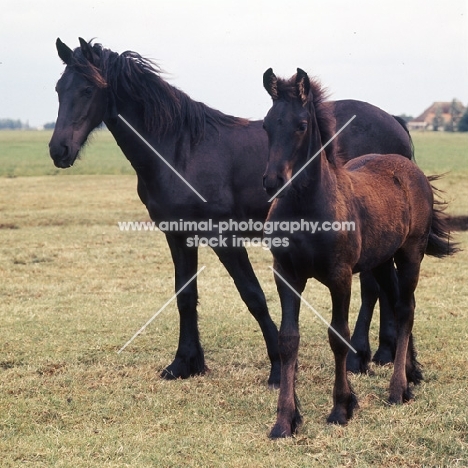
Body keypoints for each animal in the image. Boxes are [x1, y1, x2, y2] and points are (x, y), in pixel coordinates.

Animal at [50, 38, 414, 386]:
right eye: (58, 89)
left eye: (87, 89)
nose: (58, 150)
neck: (181, 150)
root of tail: (395, 123)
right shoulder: (178, 235)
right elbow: (185, 295)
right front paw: (185, 363)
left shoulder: (224, 236)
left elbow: (252, 295)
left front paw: (278, 368)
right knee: (382, 287)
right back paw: (383, 352)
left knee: (373, 288)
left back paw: (360, 357)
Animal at [262, 69, 456, 438]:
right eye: (266, 124)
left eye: (301, 125)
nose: (272, 181)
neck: (307, 207)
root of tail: (409, 167)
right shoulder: (286, 273)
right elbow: (288, 339)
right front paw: (284, 420)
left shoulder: (340, 277)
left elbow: (338, 336)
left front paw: (342, 407)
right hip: (380, 260)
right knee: (394, 299)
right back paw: (410, 374)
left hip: (411, 254)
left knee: (406, 308)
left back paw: (397, 389)